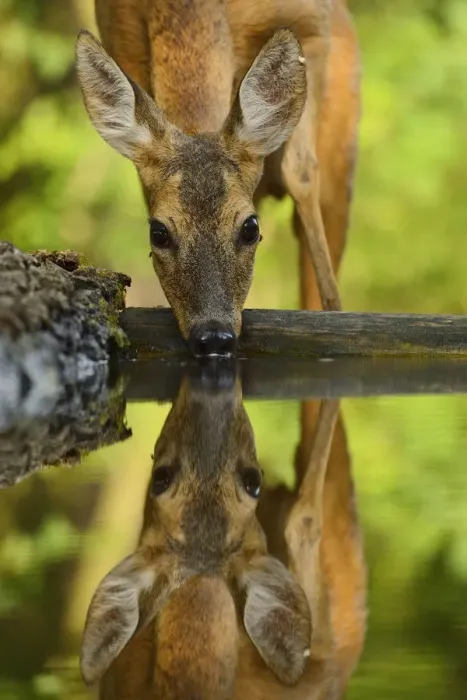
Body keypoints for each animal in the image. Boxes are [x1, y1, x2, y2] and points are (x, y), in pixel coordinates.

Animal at [75, 0, 360, 357]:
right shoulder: (123, 38)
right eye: (158, 233)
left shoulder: (311, 24)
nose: (213, 336)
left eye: (251, 228)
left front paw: (335, 313)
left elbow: (301, 171)